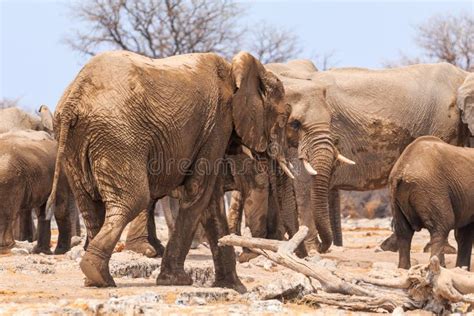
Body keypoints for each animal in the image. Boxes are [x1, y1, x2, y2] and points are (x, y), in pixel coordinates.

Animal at [47, 50, 292, 292]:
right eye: (283, 120)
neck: (236, 70)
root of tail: (74, 100)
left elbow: (211, 200)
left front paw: (233, 287)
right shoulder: (217, 124)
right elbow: (199, 191)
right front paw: (176, 280)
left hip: (76, 143)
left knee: (90, 205)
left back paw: (96, 279)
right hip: (118, 137)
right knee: (133, 200)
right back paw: (98, 275)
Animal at [388, 136, 474, 270]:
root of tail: (402, 171)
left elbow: (464, 232)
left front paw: (462, 268)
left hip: (395, 196)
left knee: (403, 232)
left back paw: (404, 268)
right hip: (432, 190)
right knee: (442, 226)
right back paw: (439, 266)